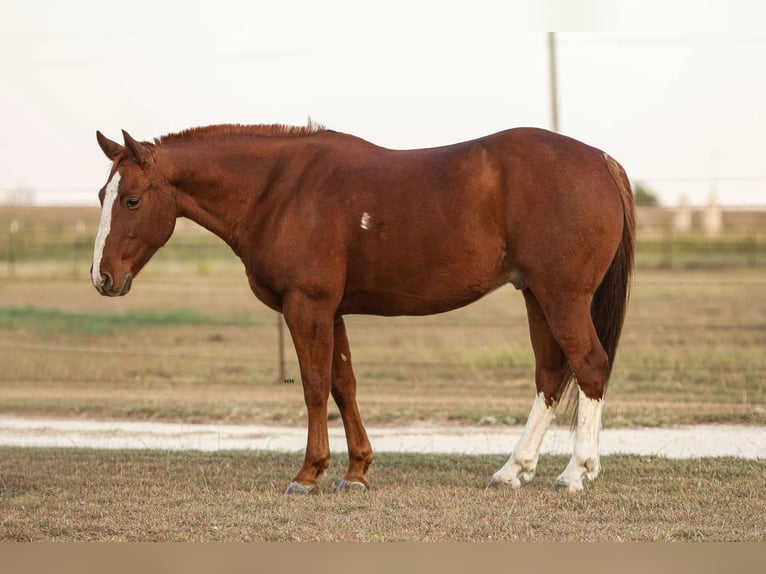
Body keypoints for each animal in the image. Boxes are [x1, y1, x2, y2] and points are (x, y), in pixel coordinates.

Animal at [93, 125, 640, 496]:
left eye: (132, 200)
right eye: (102, 195)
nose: (102, 278)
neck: (280, 189)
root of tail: (601, 160)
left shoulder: (306, 306)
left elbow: (315, 387)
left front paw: (308, 474)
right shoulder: (330, 311)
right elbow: (343, 384)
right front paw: (356, 472)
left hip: (562, 297)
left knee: (589, 365)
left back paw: (574, 473)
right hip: (536, 296)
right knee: (550, 374)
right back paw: (514, 470)